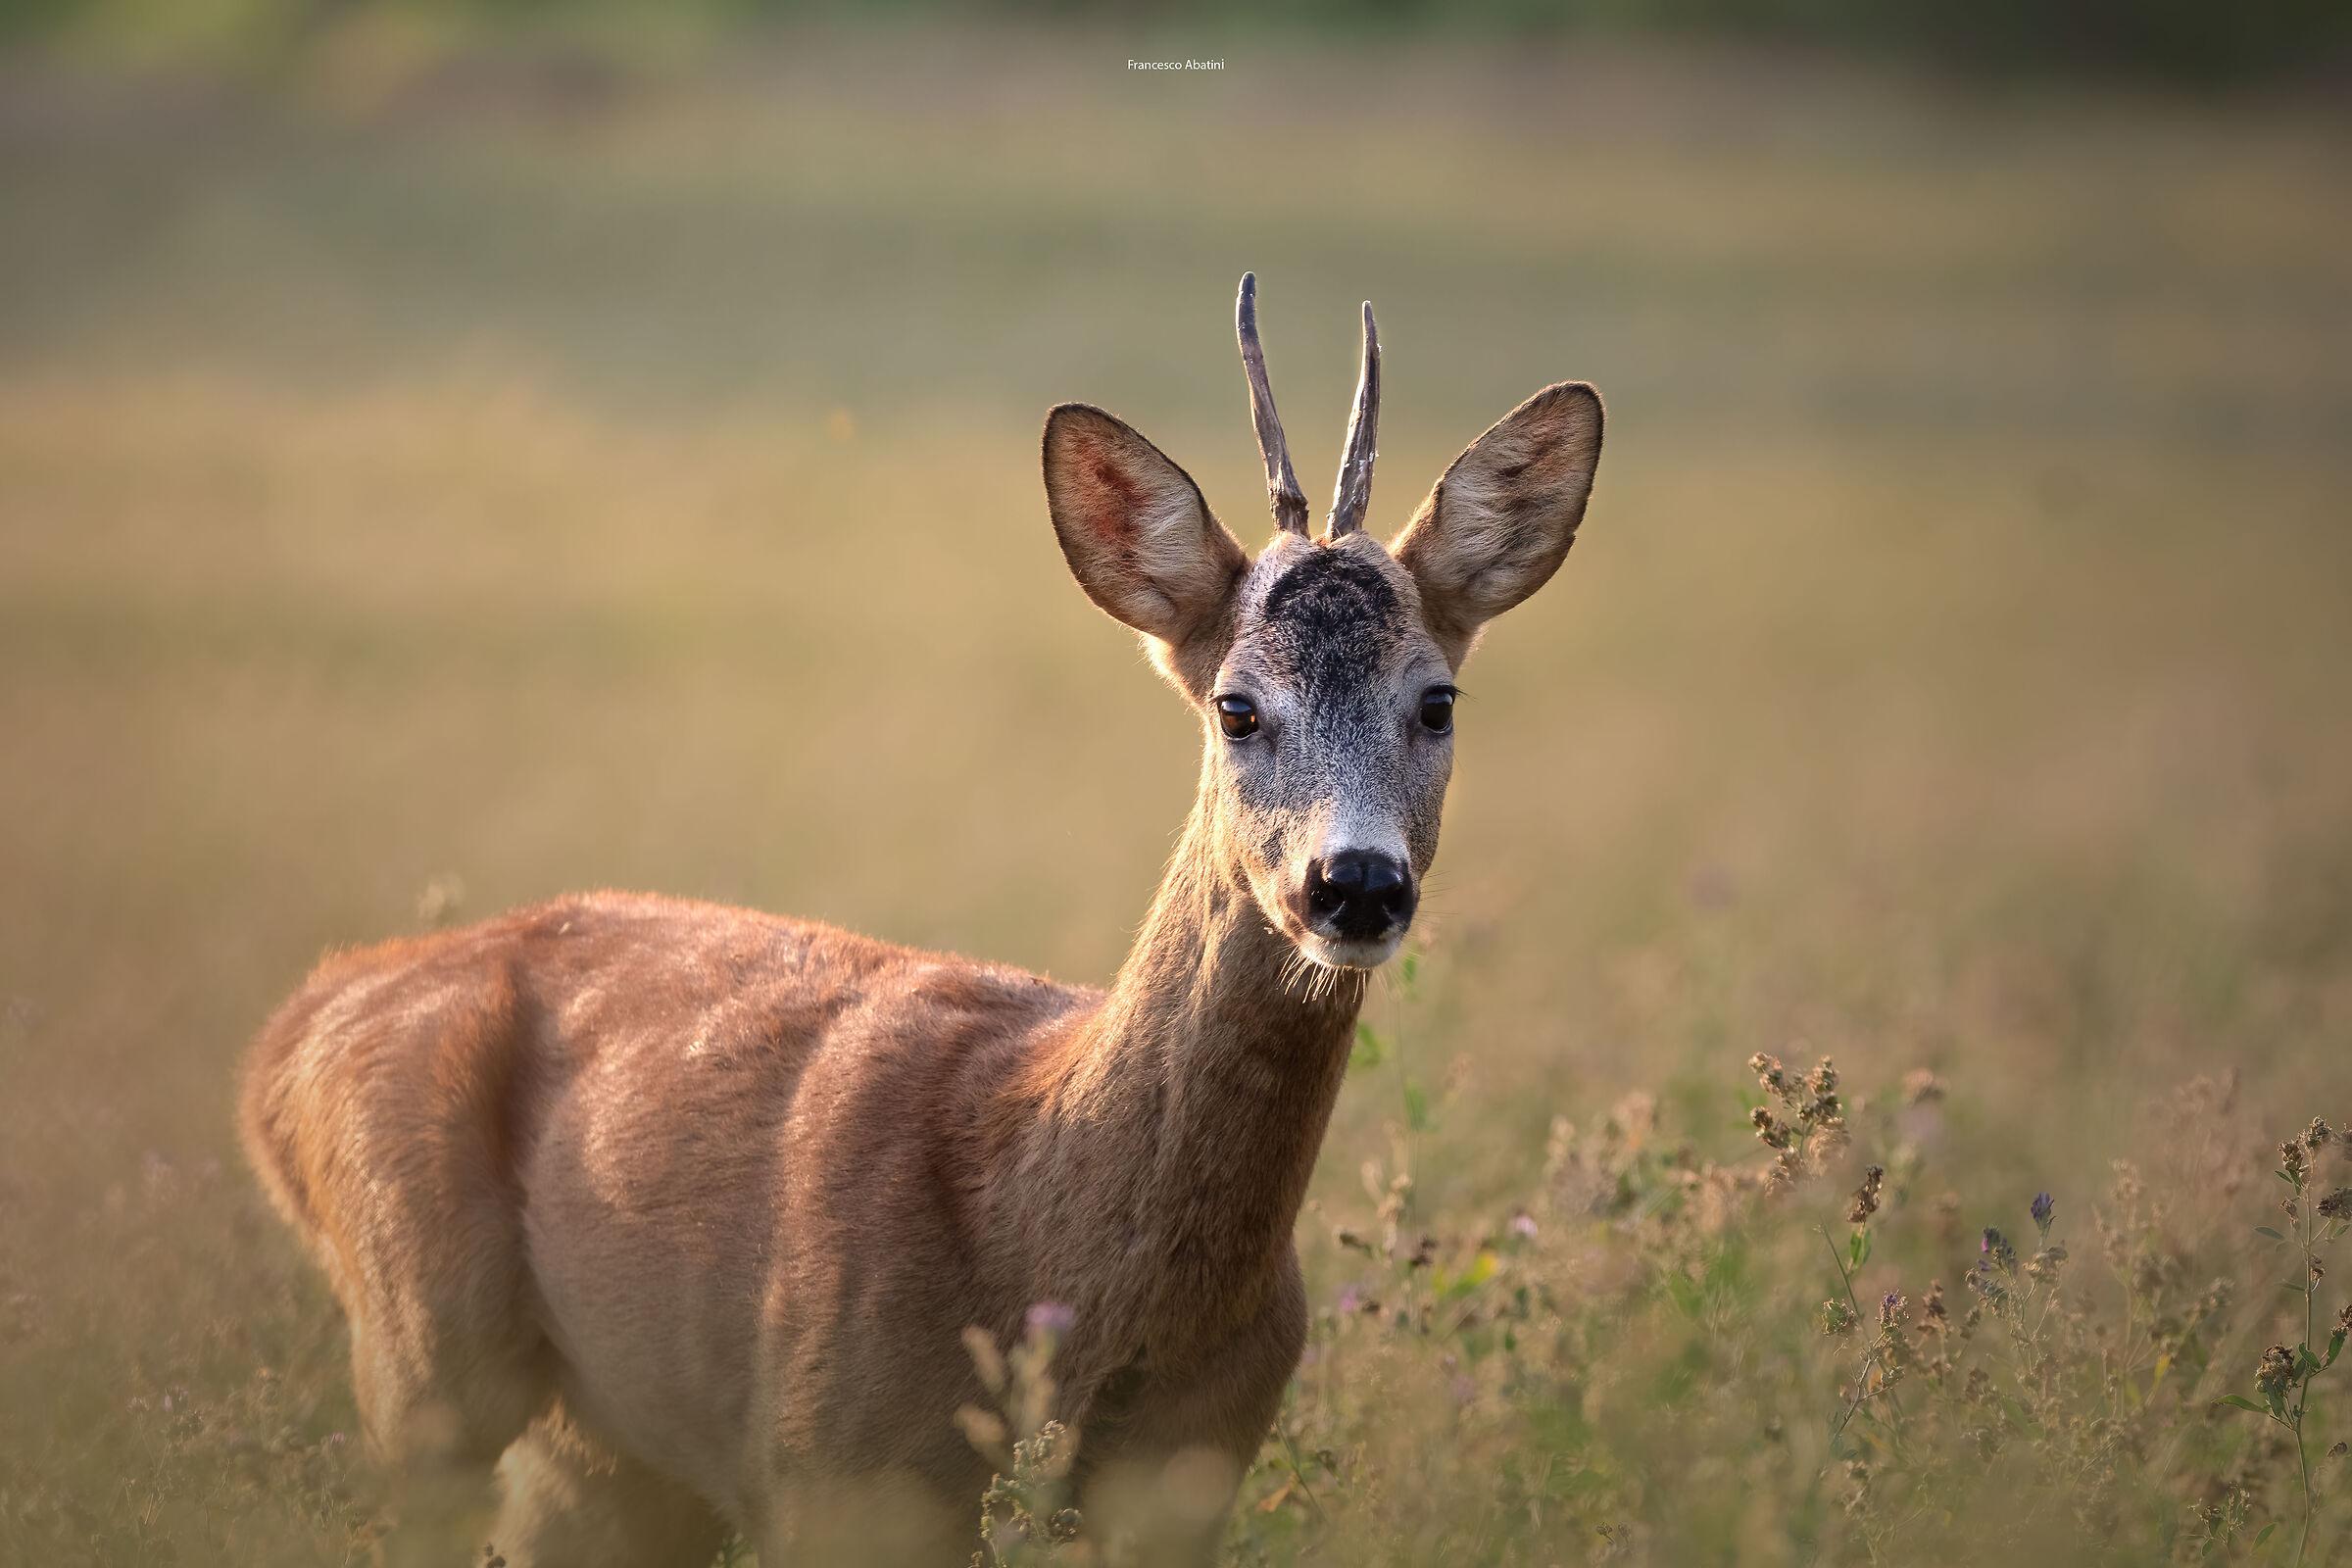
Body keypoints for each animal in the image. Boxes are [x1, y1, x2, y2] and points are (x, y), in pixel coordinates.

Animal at [239, 274, 1603, 1566]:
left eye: (1437, 700)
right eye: (1236, 705)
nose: (1354, 883)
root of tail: (293, 1029)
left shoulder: (1190, 1481)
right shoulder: (831, 1465)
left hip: (606, 1454)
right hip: (420, 1341)